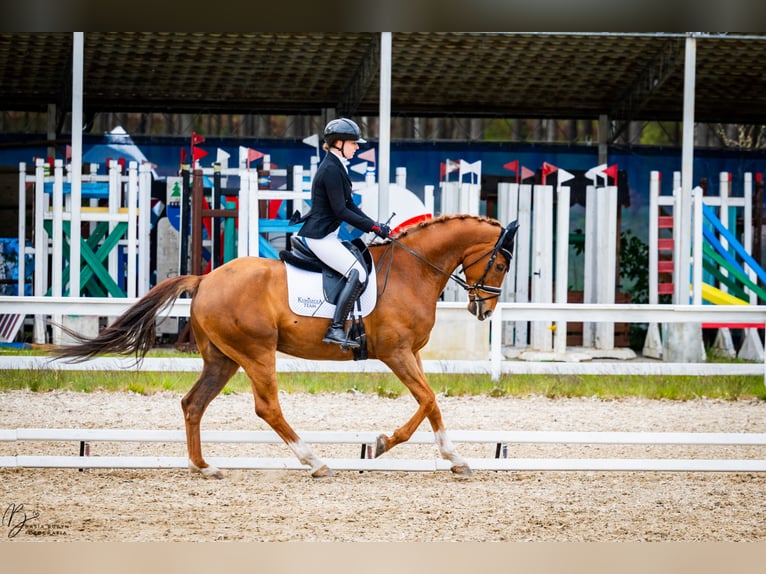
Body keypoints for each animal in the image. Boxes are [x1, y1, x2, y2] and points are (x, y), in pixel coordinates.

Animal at [54, 214, 520, 480]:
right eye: (499, 263)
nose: (483, 308)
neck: (411, 269)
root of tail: (205, 279)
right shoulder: (396, 352)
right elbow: (428, 397)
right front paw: (385, 443)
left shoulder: (413, 353)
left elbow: (431, 402)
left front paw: (455, 458)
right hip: (256, 352)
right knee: (267, 408)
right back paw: (314, 462)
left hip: (222, 358)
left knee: (193, 404)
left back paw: (205, 467)